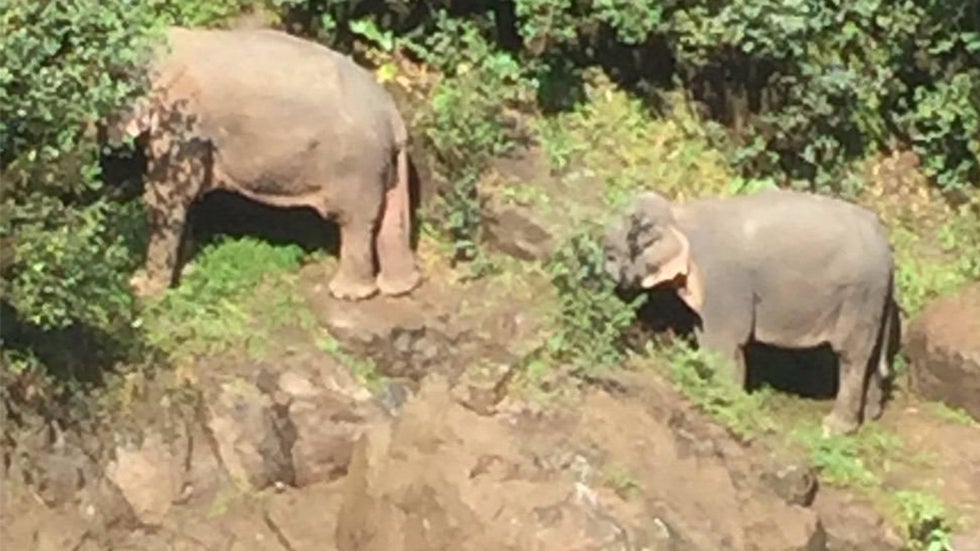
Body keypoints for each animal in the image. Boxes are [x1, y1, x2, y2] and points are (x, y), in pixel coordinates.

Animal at [106, 27, 421, 300]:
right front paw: (187, 269)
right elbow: (187, 194)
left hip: (356, 166)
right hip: (387, 164)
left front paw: (142, 289)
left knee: (355, 222)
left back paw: (347, 293)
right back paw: (400, 287)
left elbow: (169, 193)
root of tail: (392, 116)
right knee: (391, 218)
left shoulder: (181, 118)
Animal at [603, 189, 898, 435]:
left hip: (859, 294)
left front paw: (726, 402)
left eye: (611, 254)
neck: (680, 215)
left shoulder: (723, 283)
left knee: (851, 356)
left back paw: (836, 428)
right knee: (870, 356)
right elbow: (707, 340)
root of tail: (887, 247)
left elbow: (725, 343)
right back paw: (871, 416)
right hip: (874, 299)